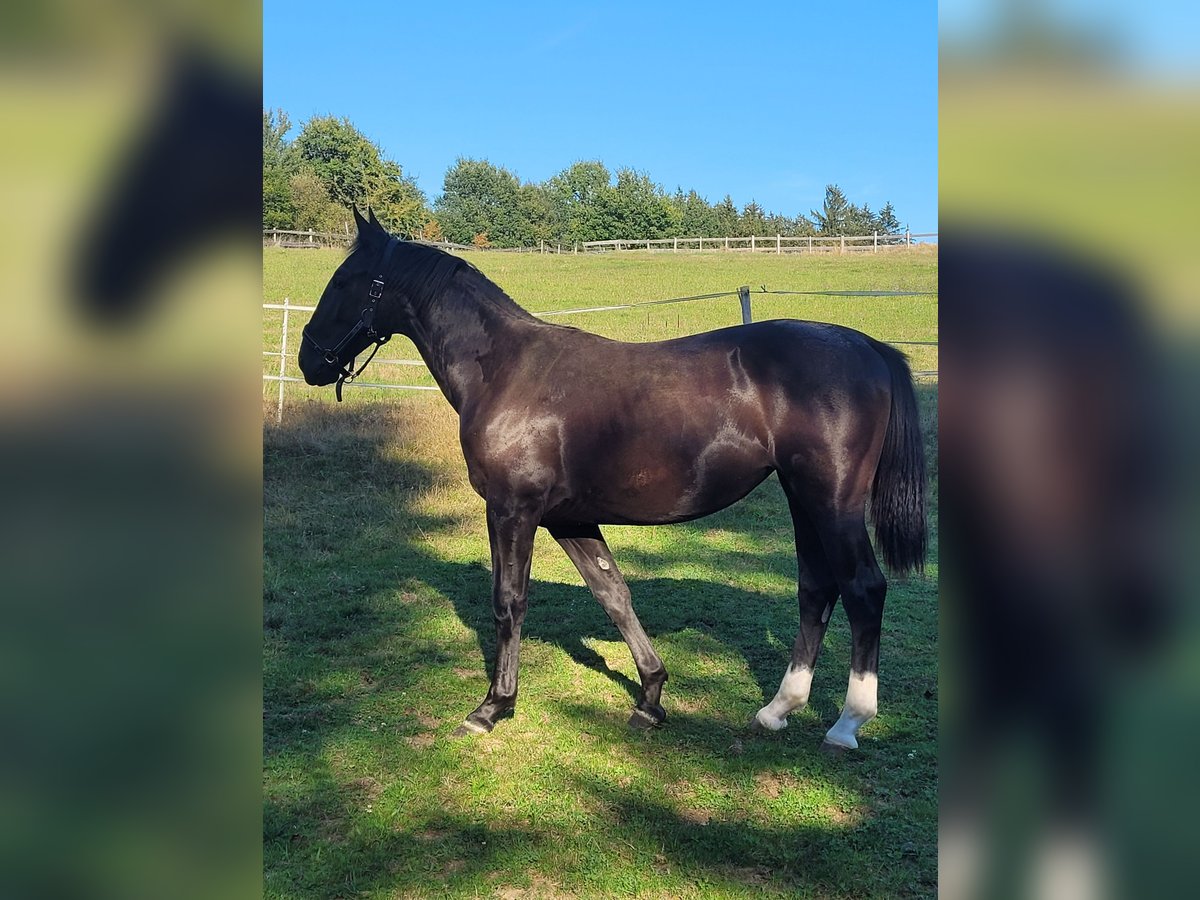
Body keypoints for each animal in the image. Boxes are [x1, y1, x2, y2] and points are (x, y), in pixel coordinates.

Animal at [300, 210, 926, 748]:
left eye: (345, 281)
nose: (309, 360)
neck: (504, 370)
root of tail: (867, 347)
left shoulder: (511, 510)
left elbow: (509, 601)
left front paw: (493, 706)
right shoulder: (569, 519)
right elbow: (615, 596)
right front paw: (650, 698)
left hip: (833, 502)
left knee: (863, 589)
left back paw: (847, 724)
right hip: (803, 499)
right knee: (816, 588)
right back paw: (777, 709)